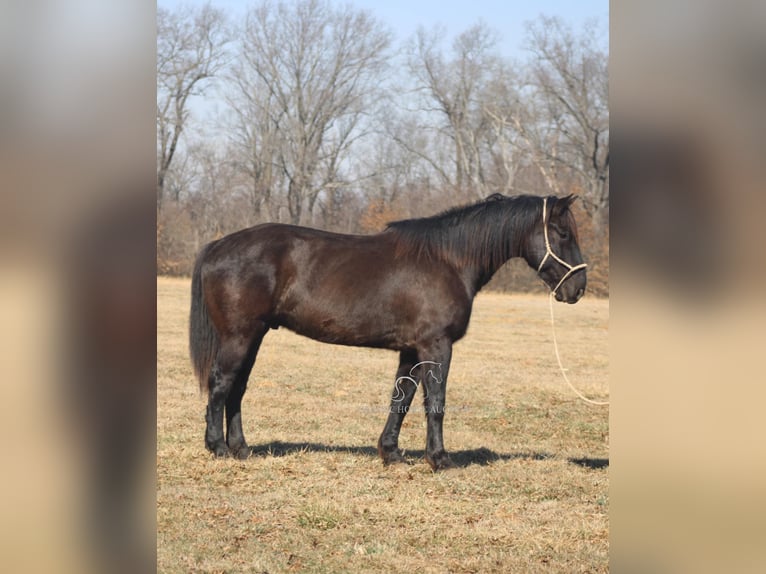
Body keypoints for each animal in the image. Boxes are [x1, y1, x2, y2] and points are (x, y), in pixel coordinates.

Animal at [190, 194, 588, 472]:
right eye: (562, 233)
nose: (578, 289)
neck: (447, 260)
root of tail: (217, 246)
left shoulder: (411, 351)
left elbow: (402, 399)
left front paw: (391, 453)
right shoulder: (436, 346)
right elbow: (435, 403)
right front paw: (439, 459)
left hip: (254, 336)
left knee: (237, 389)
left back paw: (241, 449)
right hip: (239, 337)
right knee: (221, 384)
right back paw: (218, 448)